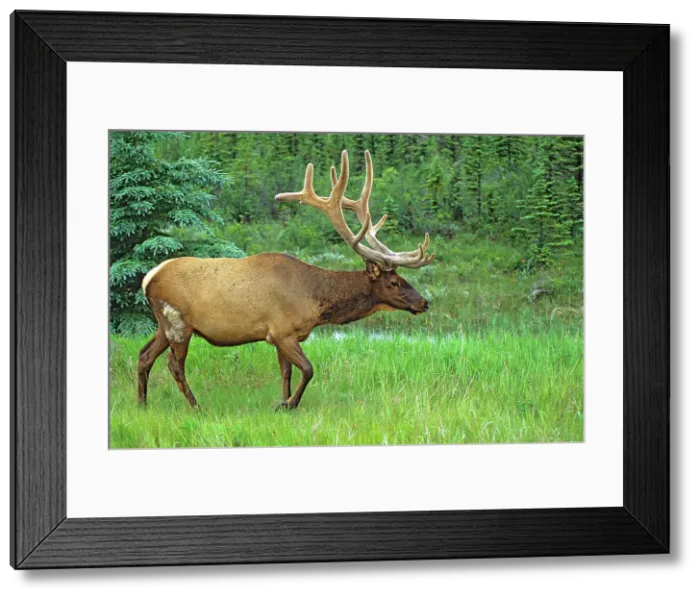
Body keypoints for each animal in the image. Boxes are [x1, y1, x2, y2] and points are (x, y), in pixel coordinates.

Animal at [138, 149, 435, 411]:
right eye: (394, 282)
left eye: (402, 277)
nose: (423, 302)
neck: (315, 300)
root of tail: (148, 278)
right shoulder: (282, 331)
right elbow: (308, 369)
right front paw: (289, 404)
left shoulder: (284, 336)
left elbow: (286, 374)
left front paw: (284, 402)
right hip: (178, 322)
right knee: (174, 364)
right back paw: (196, 406)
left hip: (163, 325)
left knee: (144, 356)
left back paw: (142, 404)